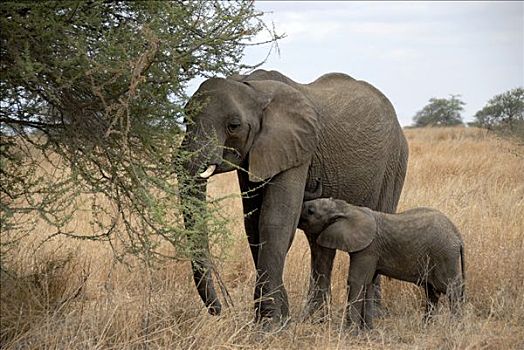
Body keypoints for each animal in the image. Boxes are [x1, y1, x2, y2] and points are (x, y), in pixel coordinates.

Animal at [177, 69, 410, 326]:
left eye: (233, 126)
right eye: (184, 120)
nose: (221, 309)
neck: (253, 87)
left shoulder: (295, 148)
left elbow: (274, 222)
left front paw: (269, 324)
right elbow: (253, 226)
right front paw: (281, 318)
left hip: (395, 163)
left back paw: (373, 314)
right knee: (320, 243)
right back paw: (315, 318)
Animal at [298, 198, 466, 330]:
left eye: (311, 211)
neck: (347, 208)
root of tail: (458, 235)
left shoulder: (368, 249)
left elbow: (356, 281)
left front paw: (349, 332)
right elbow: (368, 284)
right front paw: (367, 331)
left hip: (444, 255)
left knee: (450, 289)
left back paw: (456, 326)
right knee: (431, 292)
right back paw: (426, 327)